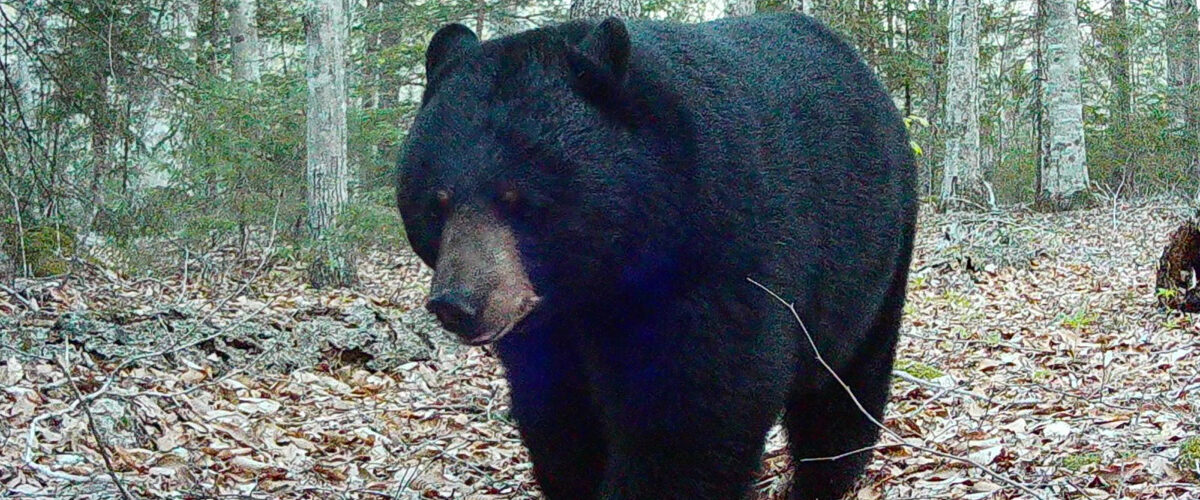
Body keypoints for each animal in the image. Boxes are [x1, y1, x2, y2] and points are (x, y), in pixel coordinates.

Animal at [395, 13, 917, 500]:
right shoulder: (548, 328)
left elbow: (693, 413)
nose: (457, 303)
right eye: (436, 203)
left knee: (844, 386)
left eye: (517, 199)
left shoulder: (717, 262)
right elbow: (559, 414)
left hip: (873, 258)